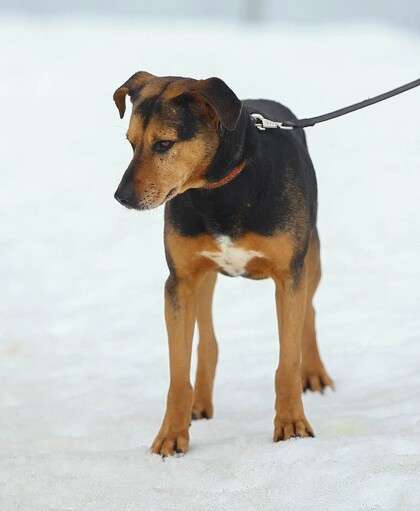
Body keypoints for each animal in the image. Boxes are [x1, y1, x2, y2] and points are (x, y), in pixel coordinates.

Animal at [113, 71, 334, 456]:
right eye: (130, 143)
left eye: (164, 144)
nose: (121, 197)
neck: (219, 192)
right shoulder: (180, 280)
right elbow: (178, 373)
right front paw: (171, 435)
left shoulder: (288, 274)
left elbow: (287, 362)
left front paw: (291, 426)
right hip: (203, 278)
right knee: (208, 341)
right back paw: (200, 403)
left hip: (312, 257)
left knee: (309, 311)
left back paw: (314, 373)